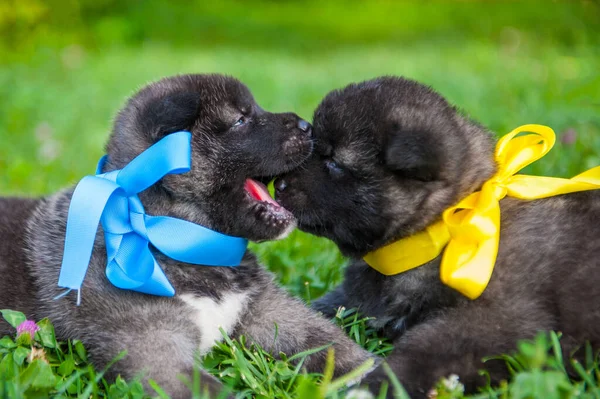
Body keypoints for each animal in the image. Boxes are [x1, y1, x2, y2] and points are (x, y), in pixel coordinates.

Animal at [0, 74, 372, 396]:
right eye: (240, 121)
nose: (307, 126)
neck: (179, 238)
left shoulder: (268, 308)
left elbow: (330, 343)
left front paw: (376, 376)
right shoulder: (152, 348)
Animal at [276, 76, 600, 398]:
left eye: (334, 162)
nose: (277, 184)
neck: (442, 228)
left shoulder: (493, 320)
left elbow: (422, 353)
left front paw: (376, 385)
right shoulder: (353, 299)